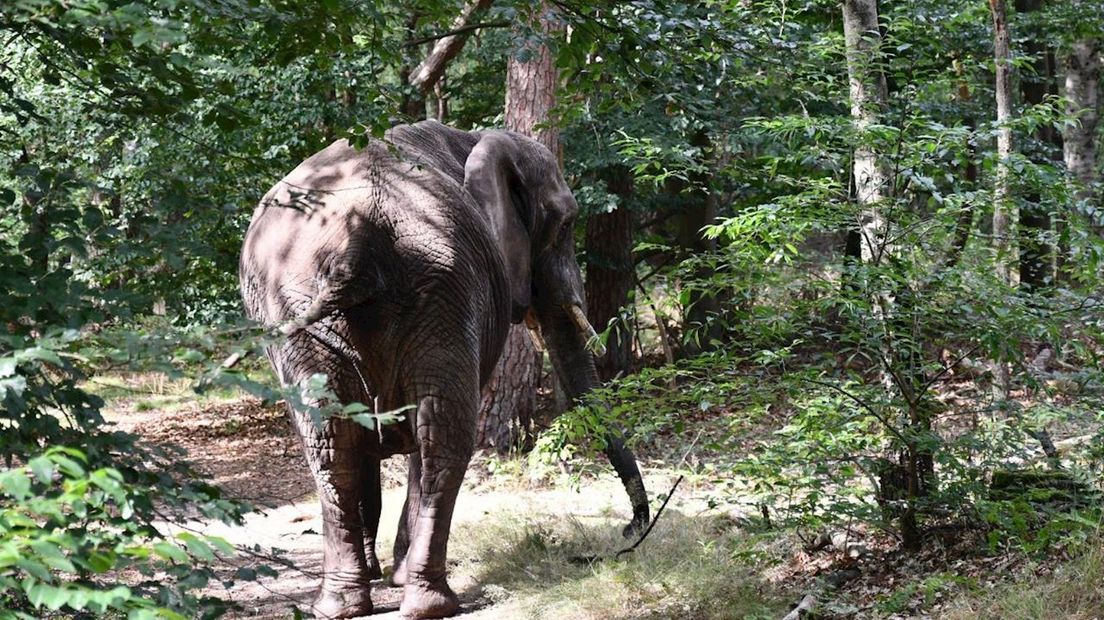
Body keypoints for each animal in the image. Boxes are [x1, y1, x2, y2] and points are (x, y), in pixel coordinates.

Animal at [238, 120, 649, 617]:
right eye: (566, 224)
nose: (628, 531)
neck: (472, 138)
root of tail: (357, 245)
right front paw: (385, 573)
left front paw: (381, 575)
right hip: (426, 288)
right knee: (434, 435)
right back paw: (428, 600)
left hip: (323, 303)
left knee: (339, 440)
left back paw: (346, 604)